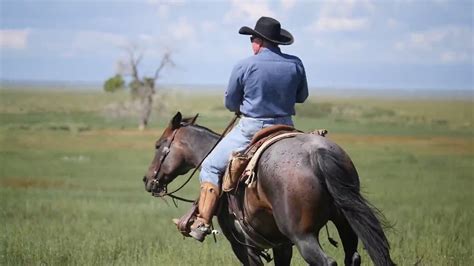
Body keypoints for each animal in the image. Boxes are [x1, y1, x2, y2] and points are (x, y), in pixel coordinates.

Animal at [143, 112, 394, 266]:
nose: (147, 180)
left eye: (158, 145)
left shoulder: (244, 245)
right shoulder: (281, 244)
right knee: (352, 257)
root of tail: (317, 153)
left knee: (327, 262)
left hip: (304, 236)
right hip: (345, 224)